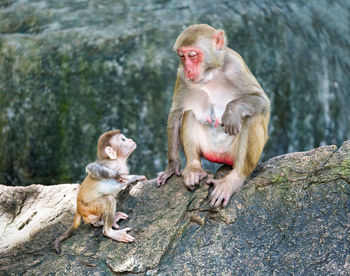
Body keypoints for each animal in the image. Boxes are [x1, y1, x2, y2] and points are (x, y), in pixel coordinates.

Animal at [157, 24, 270, 207]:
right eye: (182, 56)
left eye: (192, 55)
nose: (188, 70)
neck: (210, 73)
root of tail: (220, 157)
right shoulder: (181, 76)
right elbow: (177, 112)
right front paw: (172, 166)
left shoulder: (236, 64)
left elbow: (261, 101)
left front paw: (232, 111)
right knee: (189, 113)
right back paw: (194, 168)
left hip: (235, 154)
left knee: (252, 117)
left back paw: (234, 179)